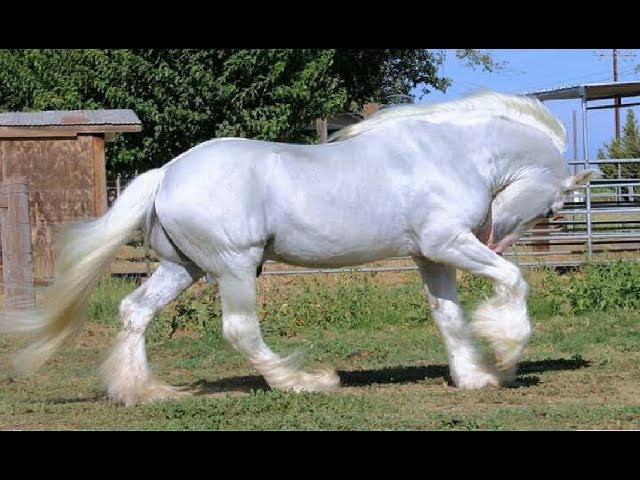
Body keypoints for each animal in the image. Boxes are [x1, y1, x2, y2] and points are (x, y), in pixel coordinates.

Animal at [2, 91, 596, 404]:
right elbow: (512, 282)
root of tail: (167, 172)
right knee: (240, 330)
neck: (453, 153)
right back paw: (305, 382)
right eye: (552, 208)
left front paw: (474, 378)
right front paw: (509, 357)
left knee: (133, 312)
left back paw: (143, 392)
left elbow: (448, 318)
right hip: (235, 267)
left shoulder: (431, 257)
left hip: (182, 268)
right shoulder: (447, 243)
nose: (494, 236)